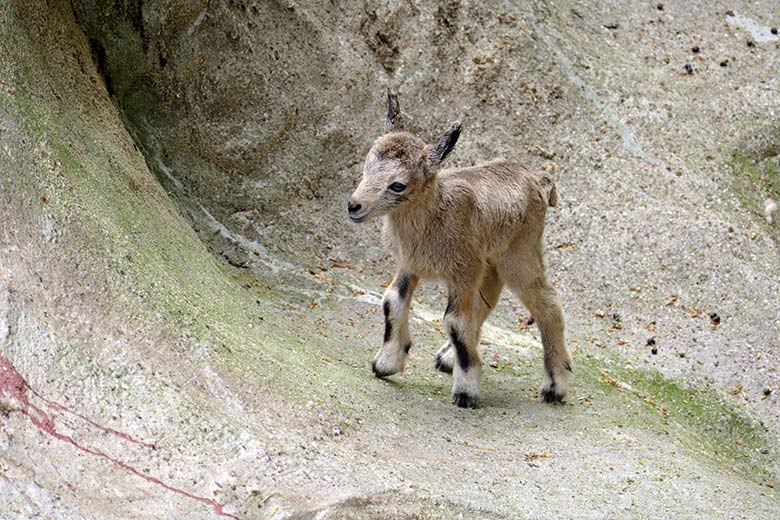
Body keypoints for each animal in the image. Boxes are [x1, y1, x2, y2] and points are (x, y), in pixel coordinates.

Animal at [348, 91, 572, 408]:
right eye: (367, 166)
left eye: (398, 185)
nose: (354, 206)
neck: (435, 216)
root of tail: (538, 180)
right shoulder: (410, 265)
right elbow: (393, 301)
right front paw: (386, 363)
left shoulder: (462, 271)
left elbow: (455, 321)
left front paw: (466, 392)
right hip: (489, 262)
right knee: (487, 298)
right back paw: (447, 358)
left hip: (519, 253)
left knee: (547, 304)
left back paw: (554, 386)